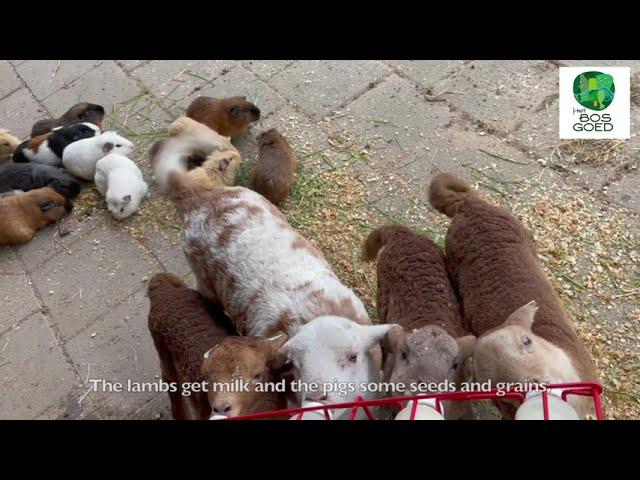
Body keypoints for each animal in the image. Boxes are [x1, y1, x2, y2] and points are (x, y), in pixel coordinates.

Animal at [148, 274, 288, 420]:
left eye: (257, 375)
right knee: (171, 382)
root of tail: (163, 286)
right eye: (208, 381)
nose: (221, 408)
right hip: (163, 353)